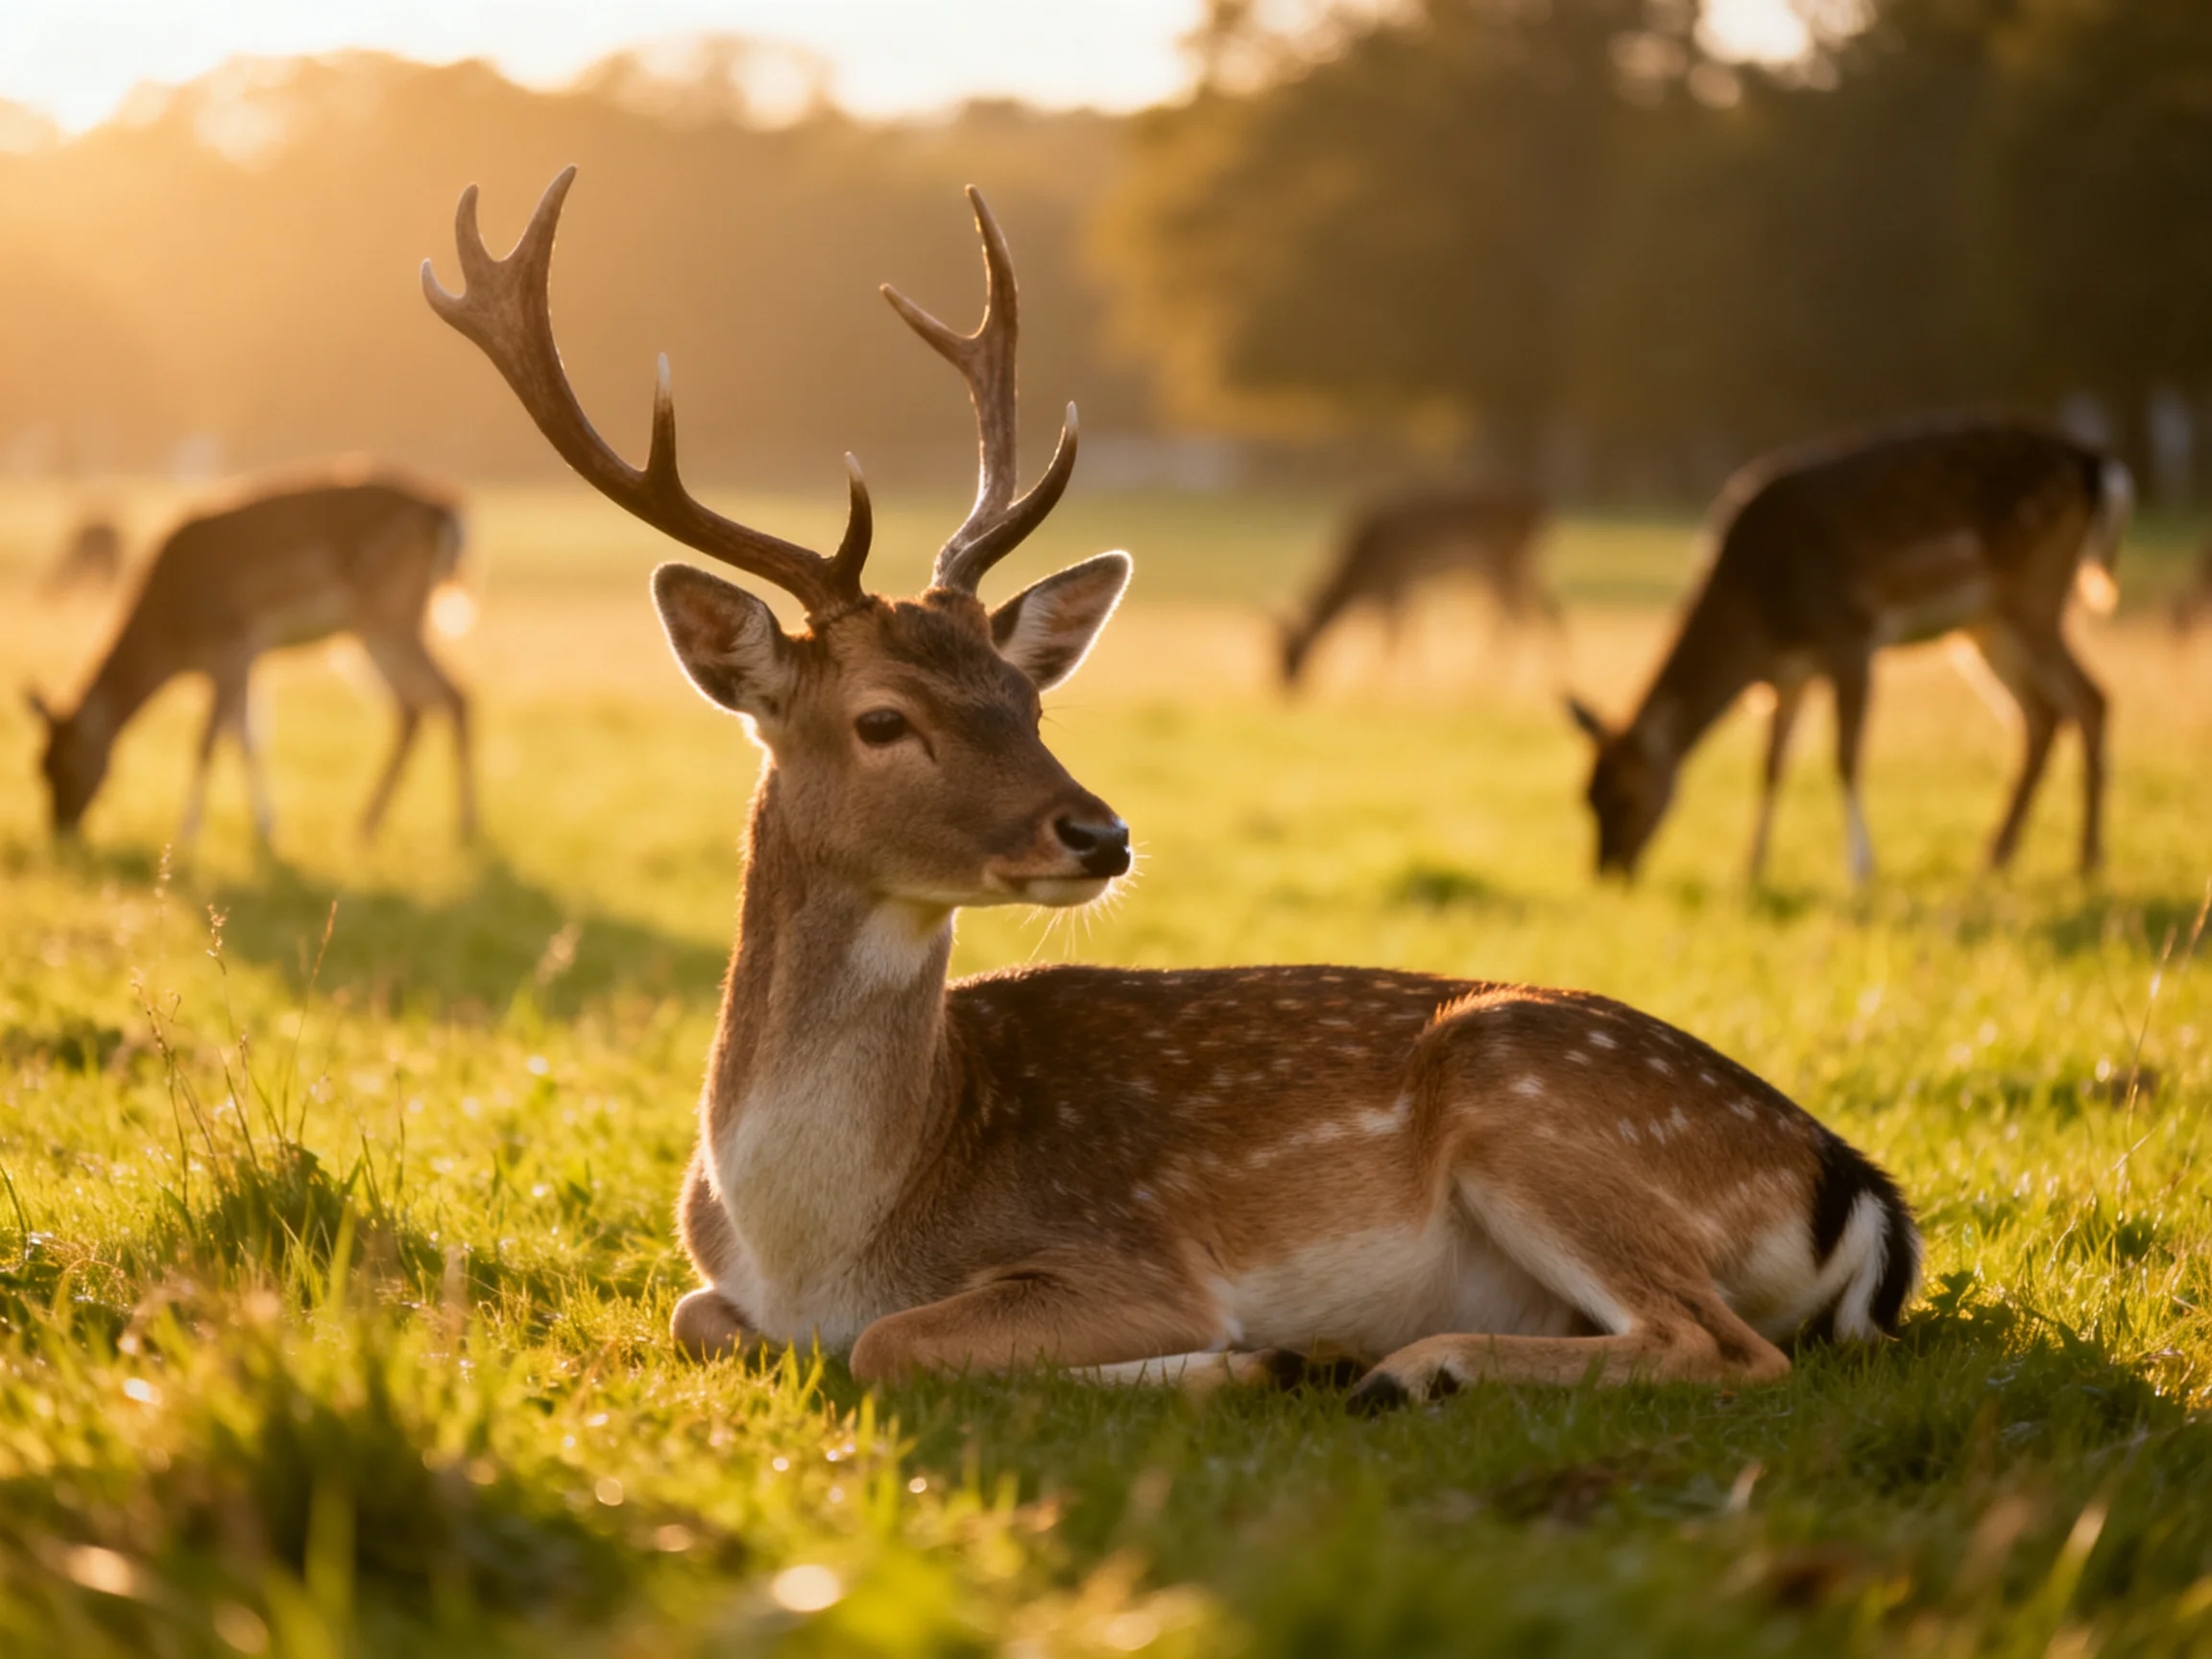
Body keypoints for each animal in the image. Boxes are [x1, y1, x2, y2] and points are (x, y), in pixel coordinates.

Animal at [25, 469, 475, 850]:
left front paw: (186, 836)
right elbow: (247, 737)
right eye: (39, 767)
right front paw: (267, 830)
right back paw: (366, 826)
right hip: (371, 628)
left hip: (391, 613)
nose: (61, 830)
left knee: (454, 694)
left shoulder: (231, 646)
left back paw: (463, 829)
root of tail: (450, 514)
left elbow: (208, 740)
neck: (171, 643)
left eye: (67, 765)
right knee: (414, 707)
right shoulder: (246, 656)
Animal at [1279, 486, 1558, 690]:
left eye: (1289, 649)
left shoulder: (1394, 583)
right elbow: (1406, 630)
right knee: (1539, 612)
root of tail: (1535, 507)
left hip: (1501, 566)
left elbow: (1394, 633)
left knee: (1517, 617)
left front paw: (1382, 686)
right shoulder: (1401, 587)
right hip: (1520, 569)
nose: (1286, 689)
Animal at [1567, 417, 2130, 886]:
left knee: (2091, 698)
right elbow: (1771, 764)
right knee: (2042, 714)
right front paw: (1751, 868)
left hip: (2034, 592)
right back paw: (1997, 856)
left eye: (1627, 797)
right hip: (1985, 625)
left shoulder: (1850, 635)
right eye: (1586, 798)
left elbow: (1845, 754)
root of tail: (2098, 466)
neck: (1757, 619)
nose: (1608, 872)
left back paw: (2088, 860)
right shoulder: (1790, 671)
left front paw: (1860, 868)